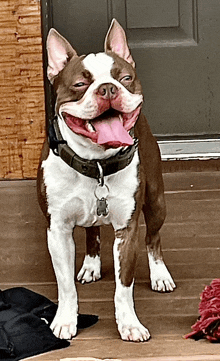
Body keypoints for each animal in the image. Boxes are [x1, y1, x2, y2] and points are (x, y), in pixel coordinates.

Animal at [37, 19, 175, 340]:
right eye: (79, 84)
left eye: (125, 78)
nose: (108, 88)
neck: (96, 164)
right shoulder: (57, 230)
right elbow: (65, 285)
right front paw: (65, 320)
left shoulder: (128, 230)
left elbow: (124, 287)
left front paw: (130, 324)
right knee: (92, 232)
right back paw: (90, 265)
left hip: (156, 201)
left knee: (153, 238)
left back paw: (160, 274)